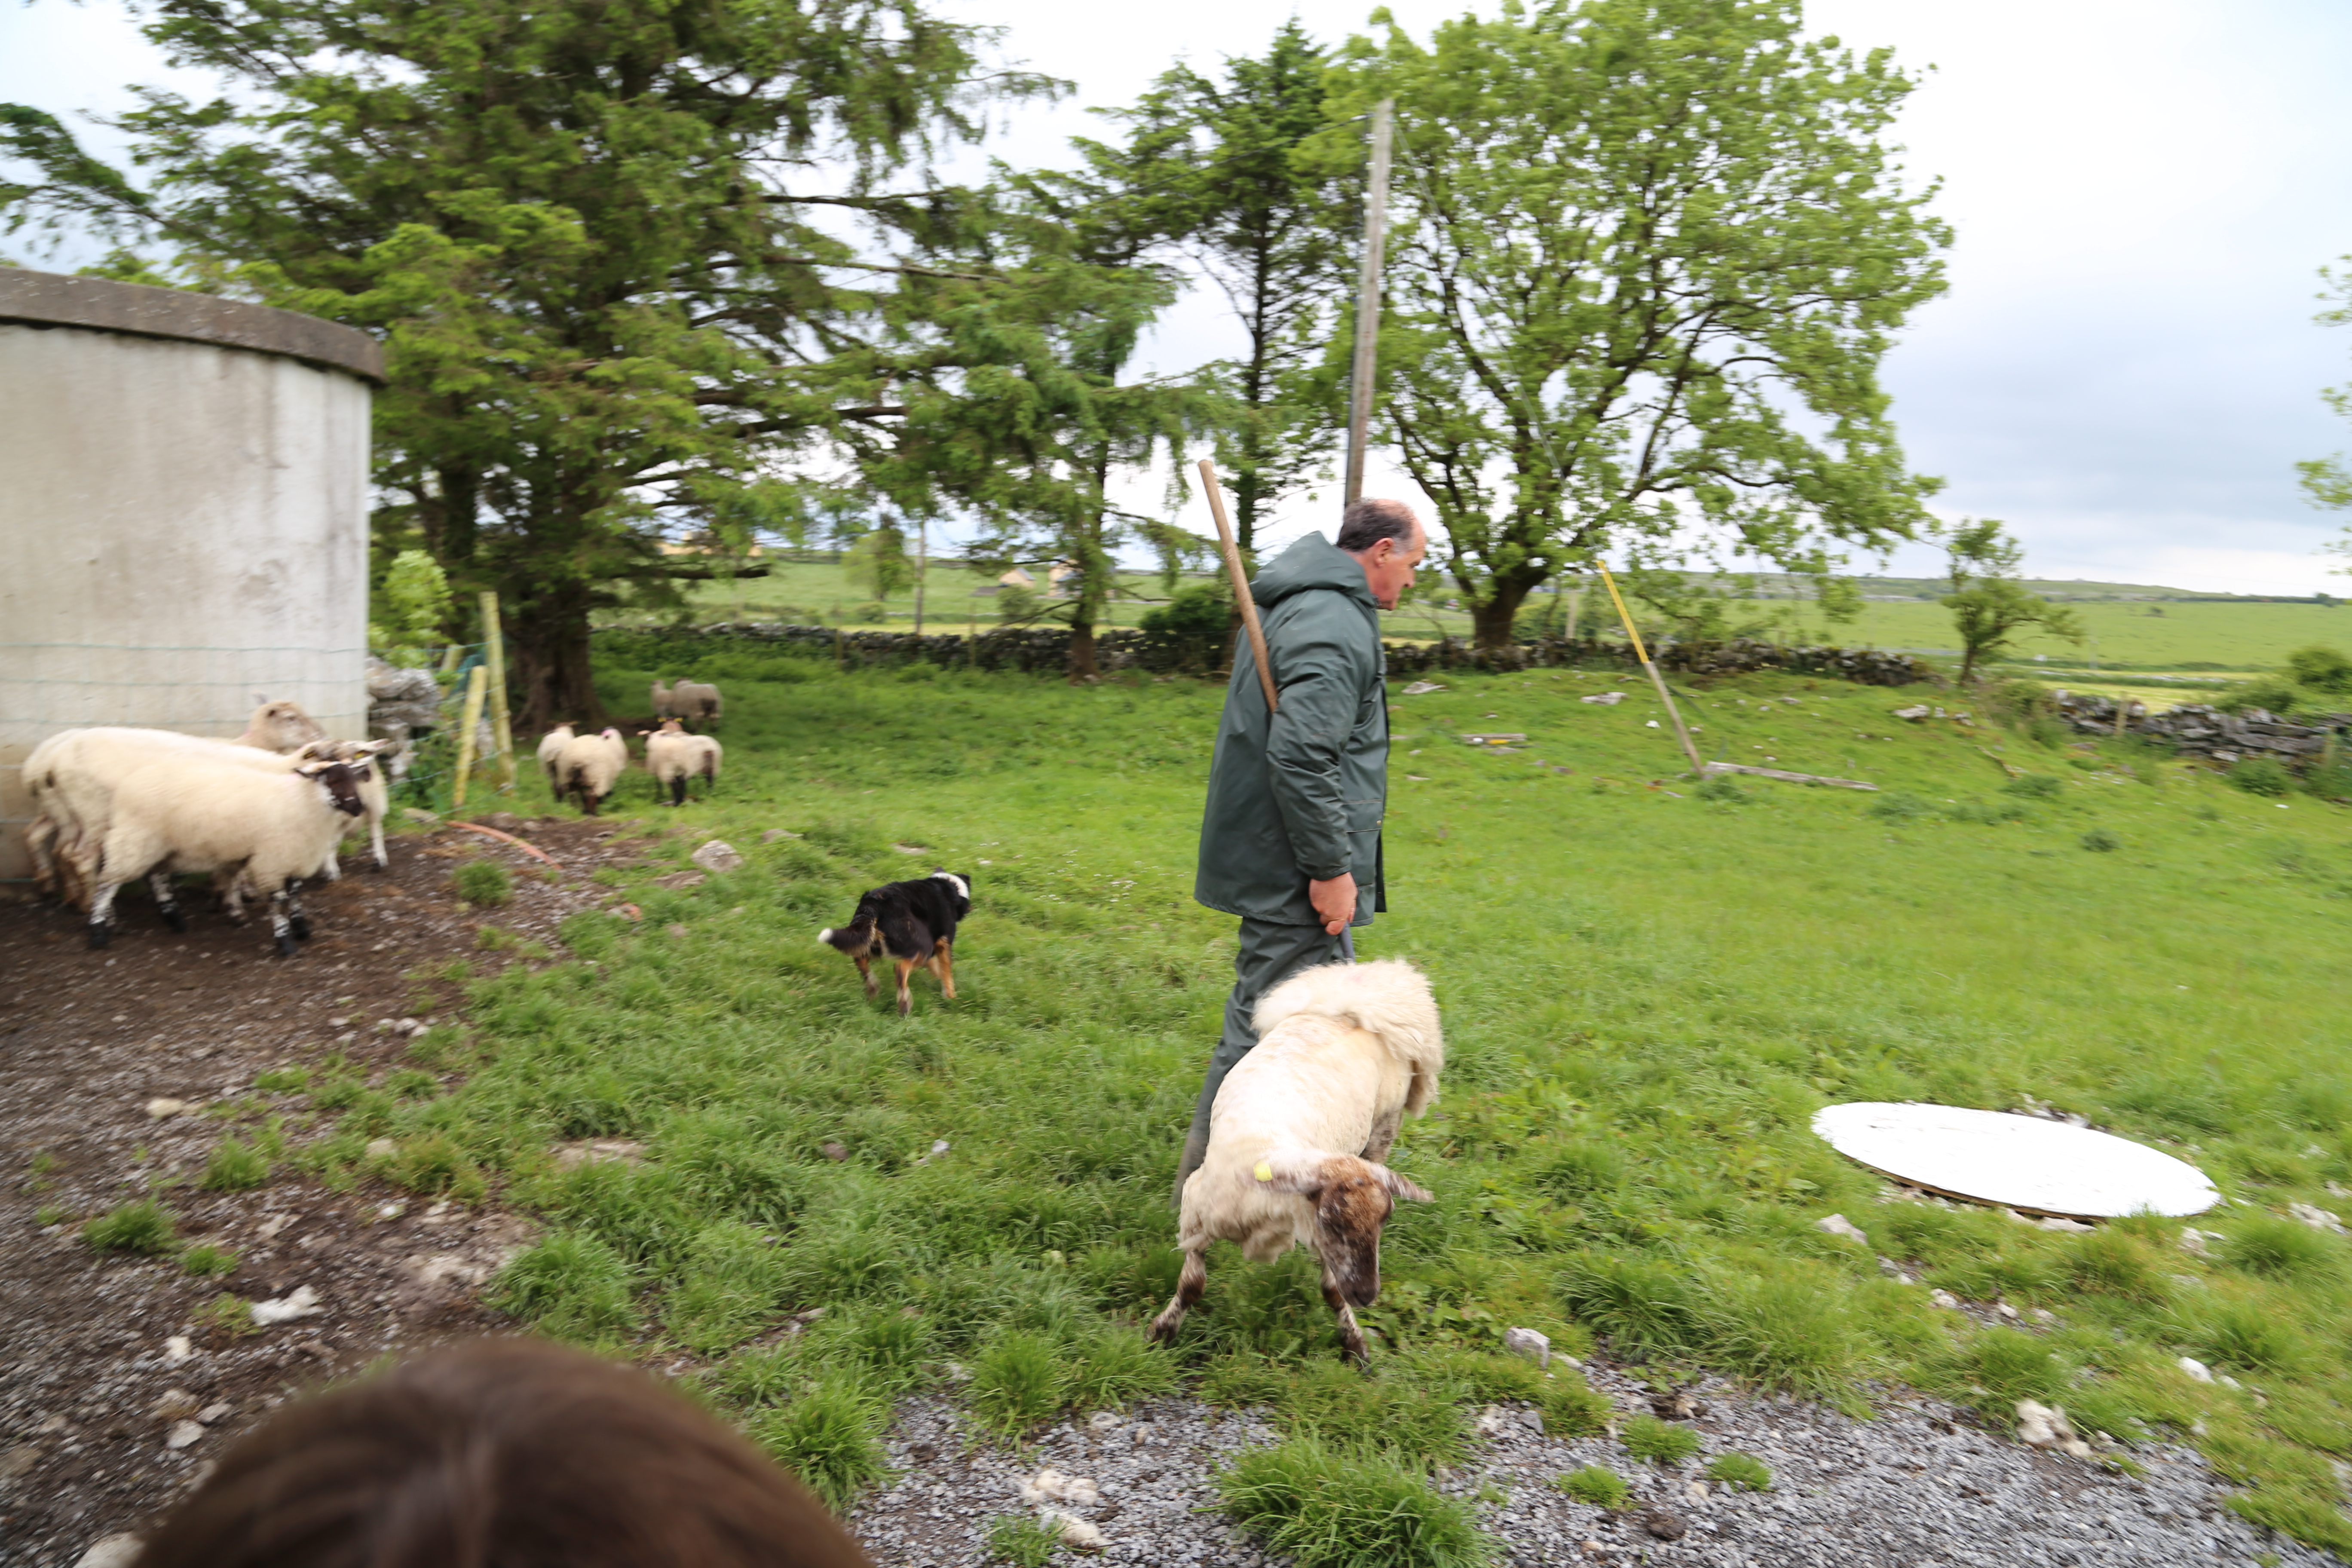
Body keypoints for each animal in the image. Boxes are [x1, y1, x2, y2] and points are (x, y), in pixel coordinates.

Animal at [87, 752, 374, 959]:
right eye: (334, 781)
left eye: (354, 779)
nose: (358, 807)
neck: (301, 803)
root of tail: (131, 782)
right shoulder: (273, 861)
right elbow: (278, 900)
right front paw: (285, 943)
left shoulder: (294, 856)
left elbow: (295, 894)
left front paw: (302, 929)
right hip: (135, 838)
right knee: (107, 882)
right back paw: (98, 932)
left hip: (159, 843)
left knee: (156, 876)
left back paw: (175, 920)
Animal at [550, 729, 625, 818]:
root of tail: (577, 759)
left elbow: (583, 797)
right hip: (594, 775)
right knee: (592, 796)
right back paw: (592, 813)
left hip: (569, 777)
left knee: (573, 794)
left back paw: (574, 809)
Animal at [640, 719, 720, 804]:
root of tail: (708, 747)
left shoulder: (657, 770)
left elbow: (659, 785)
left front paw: (659, 797)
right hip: (711, 765)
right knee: (709, 779)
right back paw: (709, 794)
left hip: (674, 768)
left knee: (675, 784)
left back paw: (677, 801)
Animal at [818, 870, 964, 1020]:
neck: (948, 887)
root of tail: (873, 904)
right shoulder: (943, 943)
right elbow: (946, 972)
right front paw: (950, 997)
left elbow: (935, 967)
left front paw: (936, 980)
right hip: (922, 945)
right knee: (900, 970)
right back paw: (904, 1005)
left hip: (872, 942)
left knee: (861, 962)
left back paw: (873, 990)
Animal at [1148, 949, 1439, 1363]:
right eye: (1333, 1220)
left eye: (1386, 1220)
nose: (1367, 1296)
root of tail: (1355, 1006)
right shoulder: (1195, 1214)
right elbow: (1192, 1284)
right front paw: (1161, 1333)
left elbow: (1332, 1290)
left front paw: (1355, 1342)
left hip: (1385, 1126)